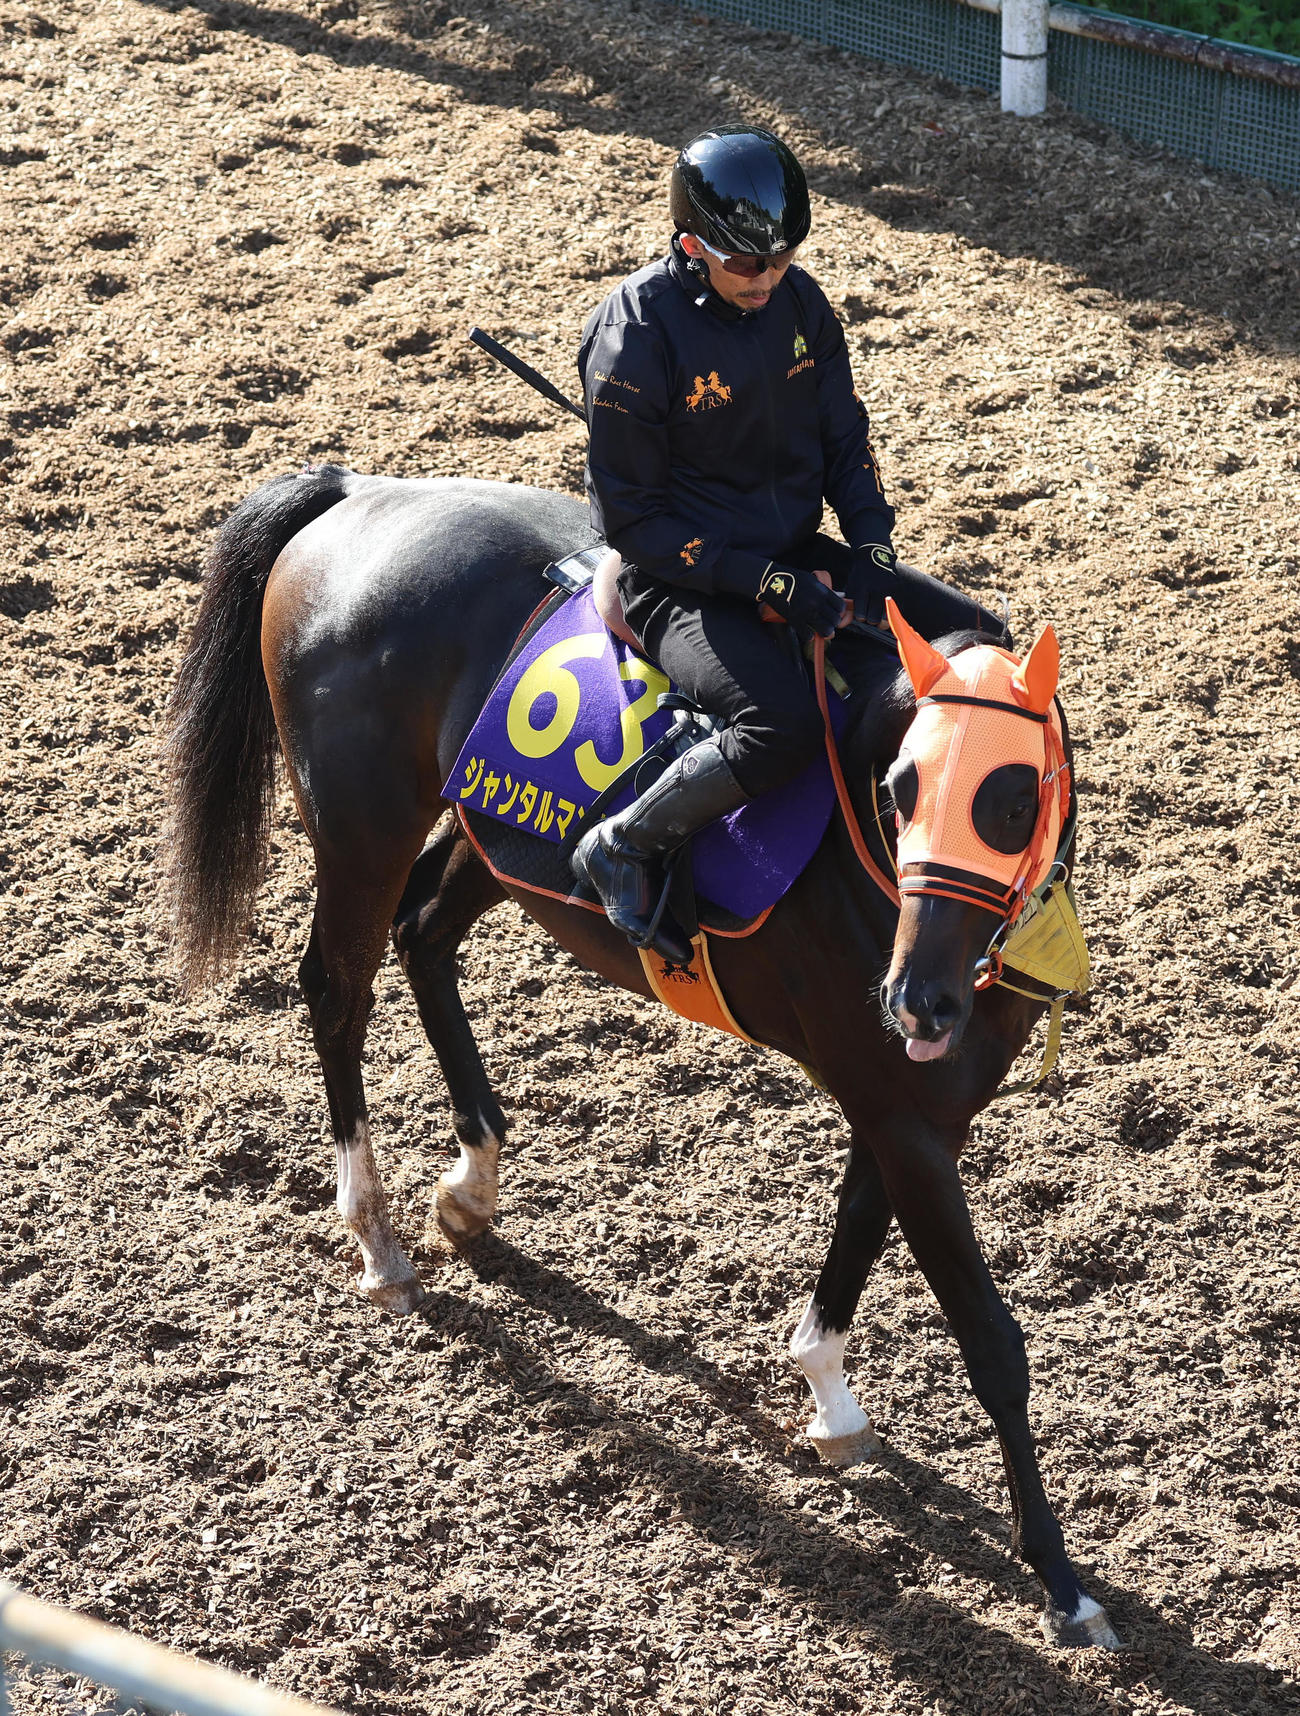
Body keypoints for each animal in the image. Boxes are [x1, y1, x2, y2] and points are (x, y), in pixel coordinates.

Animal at [164, 464, 1121, 1650]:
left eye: (1014, 796)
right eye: (901, 788)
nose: (919, 999)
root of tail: (359, 491)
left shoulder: (902, 1110)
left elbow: (855, 1241)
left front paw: (827, 1396)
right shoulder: (903, 1118)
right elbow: (991, 1344)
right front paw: (1065, 1584)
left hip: (490, 834)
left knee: (426, 932)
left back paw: (473, 1182)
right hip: (359, 831)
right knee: (337, 989)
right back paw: (376, 1233)